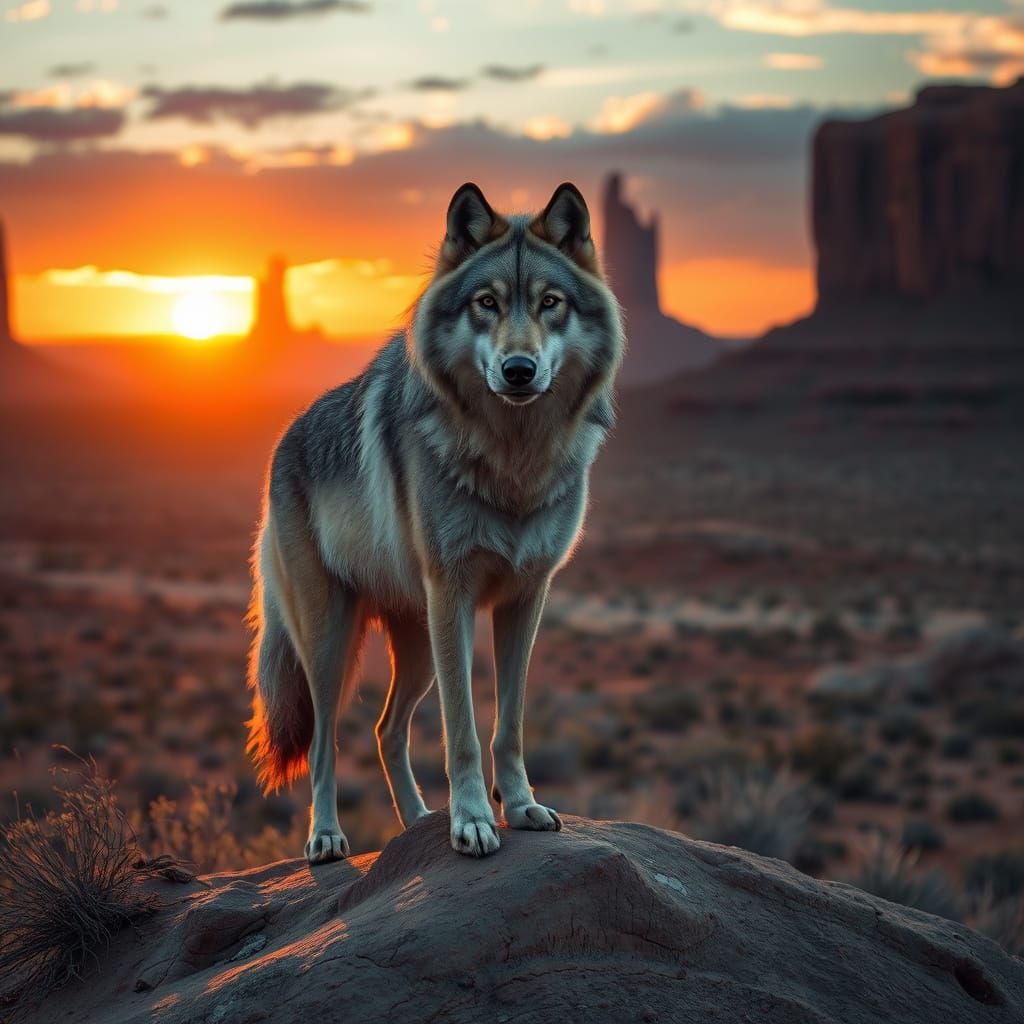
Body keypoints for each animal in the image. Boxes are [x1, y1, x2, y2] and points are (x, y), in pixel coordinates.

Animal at [247, 181, 623, 862]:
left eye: (550, 303)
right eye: (486, 303)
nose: (519, 370)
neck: (513, 460)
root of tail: (283, 444)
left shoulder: (526, 597)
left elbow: (509, 724)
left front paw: (519, 807)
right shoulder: (454, 594)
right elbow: (463, 732)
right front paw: (472, 821)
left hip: (419, 645)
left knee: (385, 728)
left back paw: (418, 819)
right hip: (332, 645)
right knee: (324, 742)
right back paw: (327, 837)